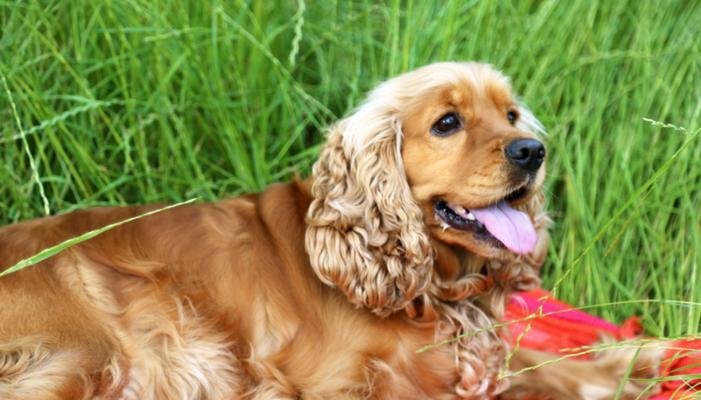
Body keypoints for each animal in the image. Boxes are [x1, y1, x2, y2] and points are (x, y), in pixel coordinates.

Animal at [0, 61, 656, 398]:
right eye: (447, 122)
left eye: (512, 114)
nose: (532, 151)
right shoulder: (334, 381)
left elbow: (549, 364)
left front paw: (638, 358)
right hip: (92, 350)